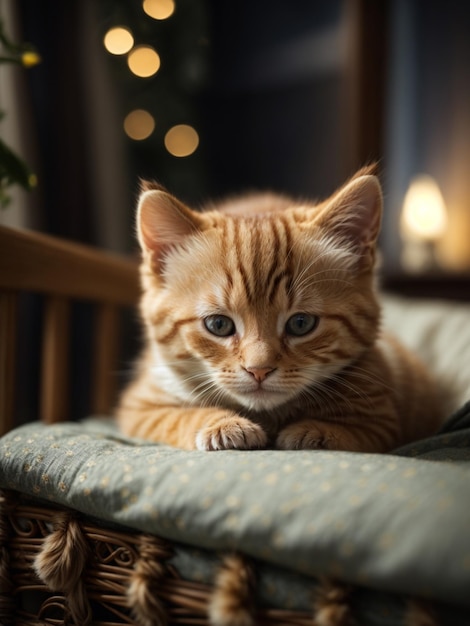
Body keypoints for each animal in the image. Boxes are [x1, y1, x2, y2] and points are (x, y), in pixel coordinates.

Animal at [117, 166, 444, 448]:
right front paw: (221, 424)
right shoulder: (139, 405)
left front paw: (317, 431)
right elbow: (175, 418)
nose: (259, 370)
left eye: (301, 323)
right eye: (218, 325)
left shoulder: (381, 412)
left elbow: (358, 430)